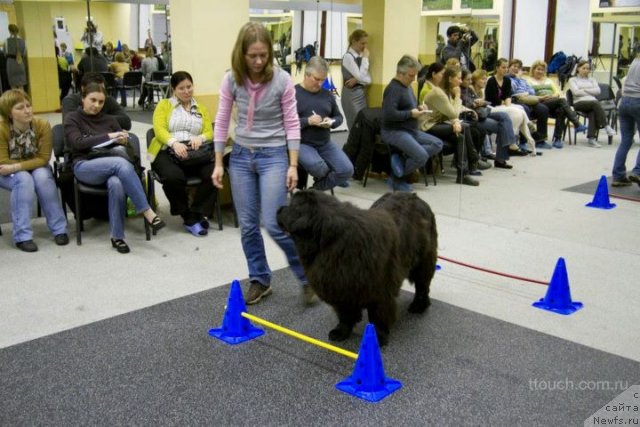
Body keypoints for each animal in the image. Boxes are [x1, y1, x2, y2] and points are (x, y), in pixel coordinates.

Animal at [278, 192, 438, 346]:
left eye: (290, 206)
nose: (278, 209)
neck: (333, 244)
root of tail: (417, 197)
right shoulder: (340, 288)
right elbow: (345, 314)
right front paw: (341, 332)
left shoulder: (380, 292)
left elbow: (378, 315)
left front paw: (378, 337)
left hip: (424, 261)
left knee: (422, 285)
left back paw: (419, 306)